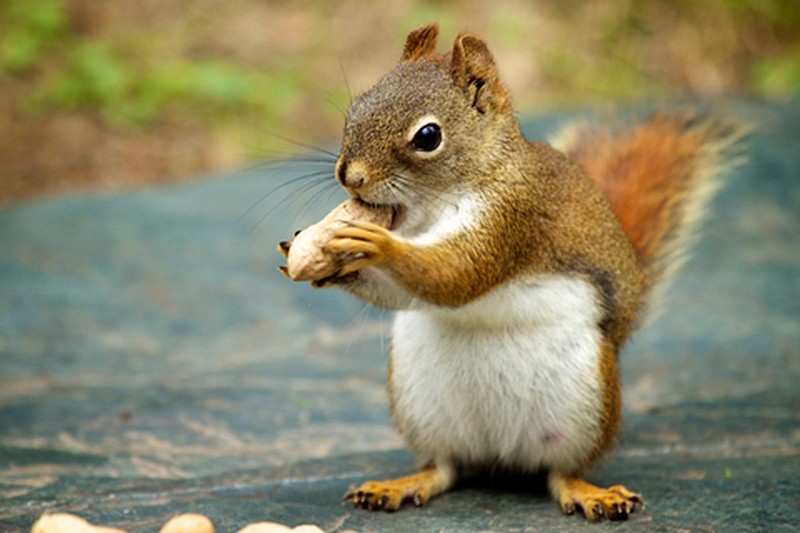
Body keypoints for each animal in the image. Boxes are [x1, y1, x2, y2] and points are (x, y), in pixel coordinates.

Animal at [285, 22, 744, 521]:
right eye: (357, 107)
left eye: (428, 136)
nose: (349, 176)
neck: (434, 206)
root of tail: (499, 455)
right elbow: (406, 295)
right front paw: (317, 259)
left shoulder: (512, 220)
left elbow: (455, 276)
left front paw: (377, 246)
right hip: (420, 407)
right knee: (444, 467)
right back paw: (401, 484)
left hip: (586, 406)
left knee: (561, 472)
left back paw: (590, 493)